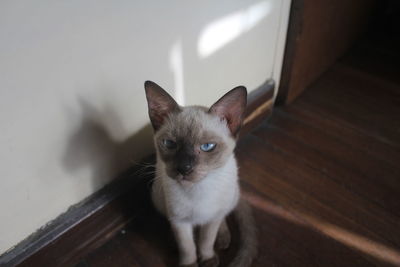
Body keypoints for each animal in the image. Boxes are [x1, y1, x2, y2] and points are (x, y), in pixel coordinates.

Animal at [144, 81, 256, 267]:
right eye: (170, 144)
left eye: (207, 147)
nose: (184, 168)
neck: (196, 190)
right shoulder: (179, 221)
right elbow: (187, 247)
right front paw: (189, 264)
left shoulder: (211, 219)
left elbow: (206, 241)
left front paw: (208, 259)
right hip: (157, 198)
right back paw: (172, 241)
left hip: (230, 197)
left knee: (222, 218)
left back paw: (223, 239)